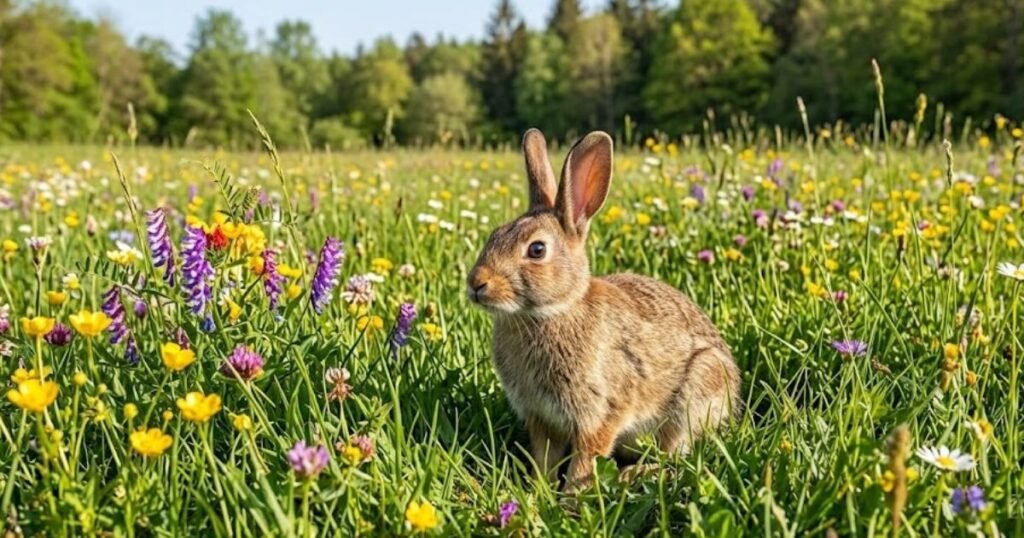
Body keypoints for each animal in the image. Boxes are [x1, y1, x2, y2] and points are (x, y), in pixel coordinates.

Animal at [467, 128, 741, 490]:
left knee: (675, 457)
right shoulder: (542, 418)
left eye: (536, 250)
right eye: (494, 235)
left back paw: (633, 475)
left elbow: (586, 460)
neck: (552, 312)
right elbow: (545, 457)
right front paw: (538, 490)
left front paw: (570, 497)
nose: (476, 284)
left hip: (694, 394)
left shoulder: (600, 411)